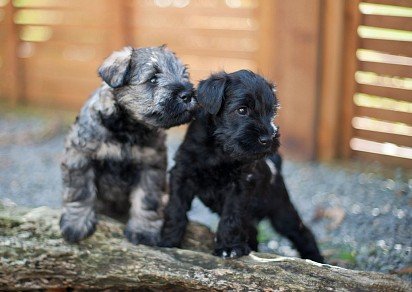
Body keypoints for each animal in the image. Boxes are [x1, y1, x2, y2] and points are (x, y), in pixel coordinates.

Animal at [59, 45, 196, 245]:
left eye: (184, 75)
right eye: (153, 78)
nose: (188, 95)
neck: (128, 129)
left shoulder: (150, 166)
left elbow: (147, 199)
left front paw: (143, 230)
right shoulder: (80, 156)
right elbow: (80, 191)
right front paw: (76, 223)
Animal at [159, 70, 324, 262]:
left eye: (272, 111)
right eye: (242, 110)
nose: (268, 139)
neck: (219, 149)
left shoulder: (241, 184)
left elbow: (231, 216)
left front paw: (229, 248)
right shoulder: (182, 173)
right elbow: (175, 208)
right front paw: (168, 240)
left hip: (281, 210)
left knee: (302, 232)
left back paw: (315, 259)